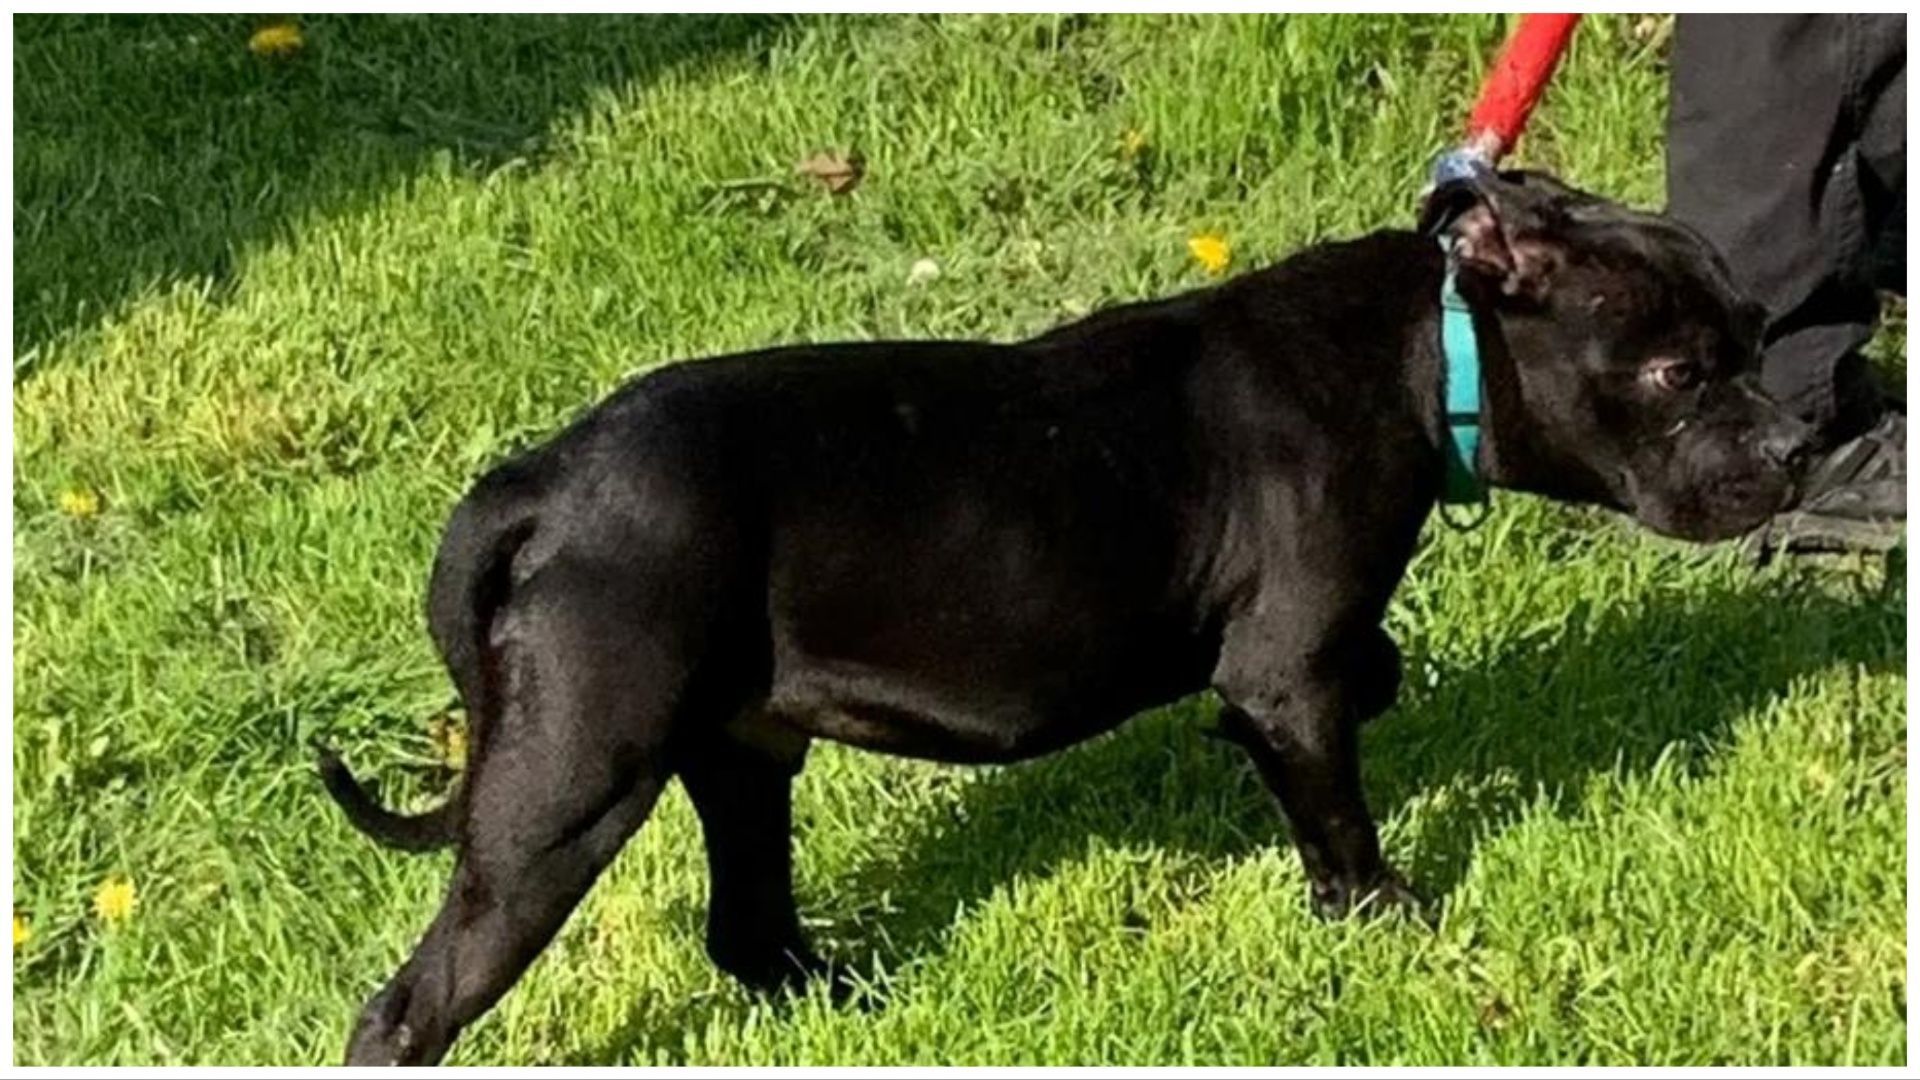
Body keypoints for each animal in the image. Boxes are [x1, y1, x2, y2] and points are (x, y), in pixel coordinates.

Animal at [318, 170, 1812, 1060]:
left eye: (1751, 338)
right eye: (1677, 372)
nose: (1795, 445)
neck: (1426, 344)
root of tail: (542, 481)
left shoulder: (1293, 664)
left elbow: (1356, 687)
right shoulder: (1289, 670)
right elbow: (1338, 803)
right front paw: (1385, 917)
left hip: (739, 756)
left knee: (745, 922)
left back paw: (839, 998)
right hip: (567, 795)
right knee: (409, 1008)